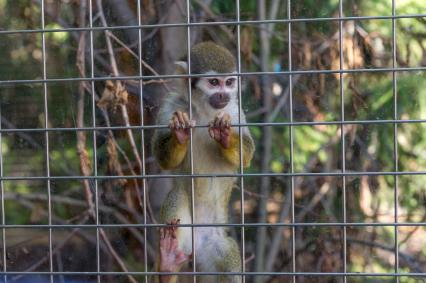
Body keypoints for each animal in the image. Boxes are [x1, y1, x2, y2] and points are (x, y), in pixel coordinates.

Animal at [152, 42, 255, 283]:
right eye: (214, 83)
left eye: (229, 82)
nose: (223, 93)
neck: (204, 111)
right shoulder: (172, 104)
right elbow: (161, 156)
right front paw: (180, 134)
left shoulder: (234, 110)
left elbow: (247, 155)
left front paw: (226, 136)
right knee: (177, 196)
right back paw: (168, 265)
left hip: (215, 245)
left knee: (228, 253)